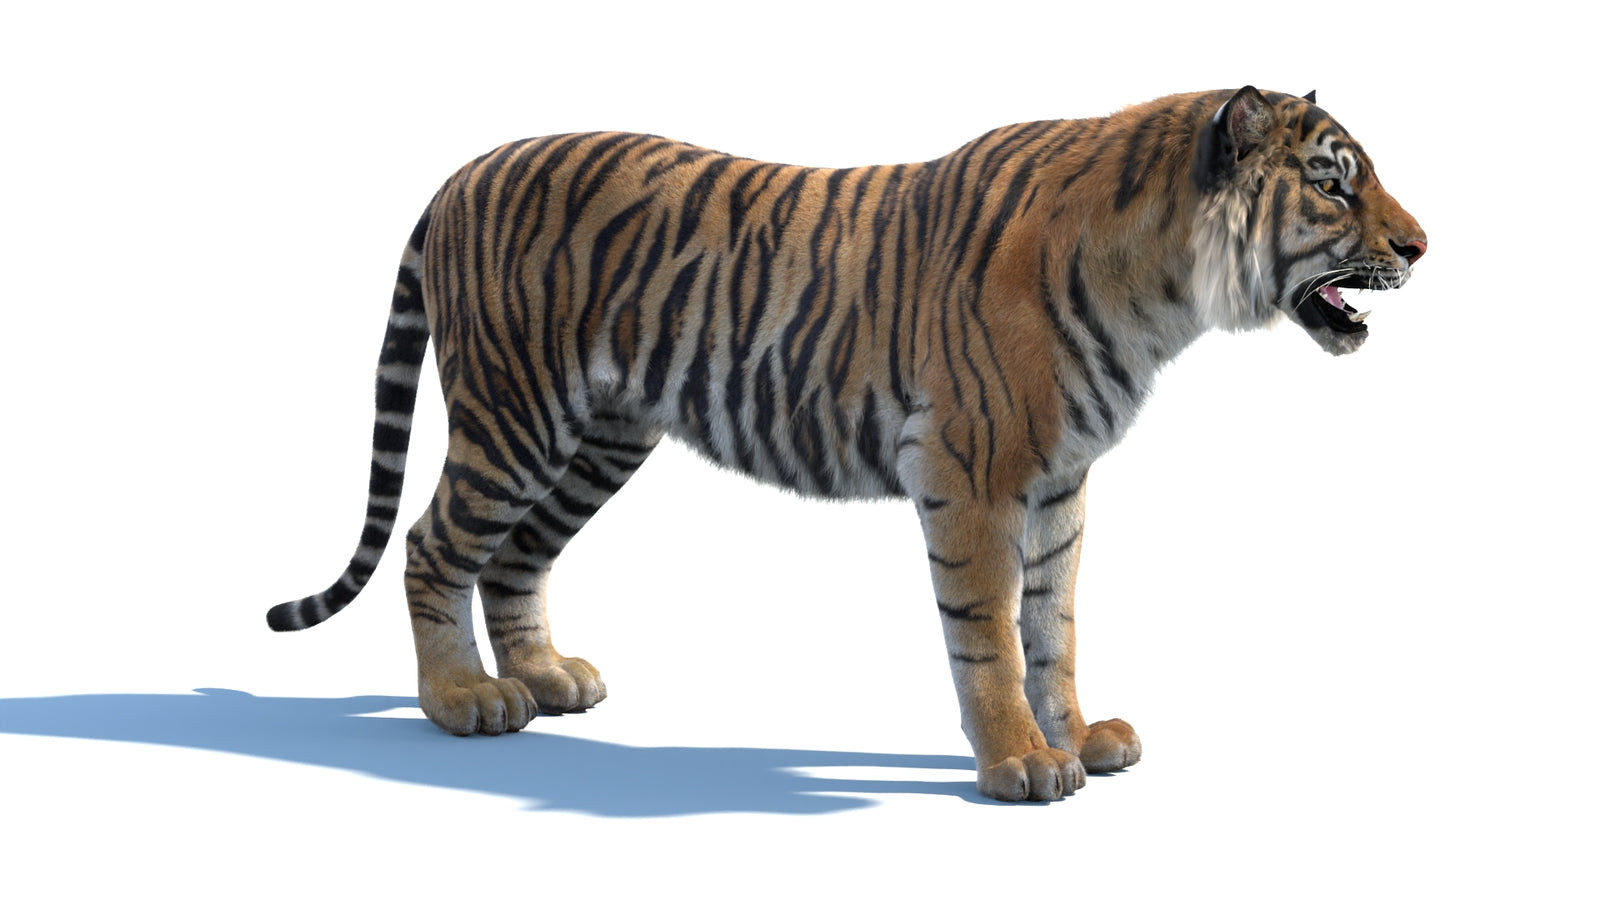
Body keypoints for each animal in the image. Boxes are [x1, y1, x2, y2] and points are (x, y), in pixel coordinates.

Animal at [268, 86, 1426, 802]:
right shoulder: (974, 472)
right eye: (1333, 184)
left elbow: (1054, 626)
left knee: (515, 555)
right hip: (516, 413)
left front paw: (1081, 738)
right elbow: (990, 635)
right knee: (433, 544)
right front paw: (1020, 763)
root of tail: (463, 169)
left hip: (600, 438)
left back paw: (548, 679)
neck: (1166, 295)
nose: (1422, 245)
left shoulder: (1060, 488)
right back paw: (463, 701)